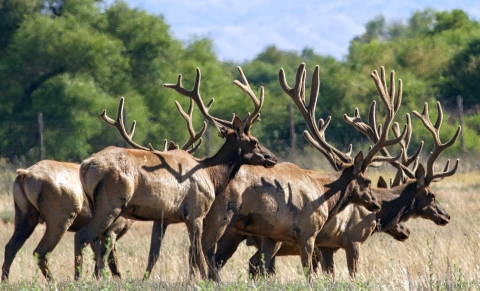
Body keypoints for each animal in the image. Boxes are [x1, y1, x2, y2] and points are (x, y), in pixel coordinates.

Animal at [75, 67, 278, 282]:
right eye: (255, 141)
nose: (272, 157)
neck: (212, 176)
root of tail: (86, 166)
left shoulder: (171, 217)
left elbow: (176, 253)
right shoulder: (196, 211)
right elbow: (198, 253)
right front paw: (203, 281)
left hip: (96, 204)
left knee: (95, 242)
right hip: (111, 202)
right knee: (83, 236)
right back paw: (79, 279)